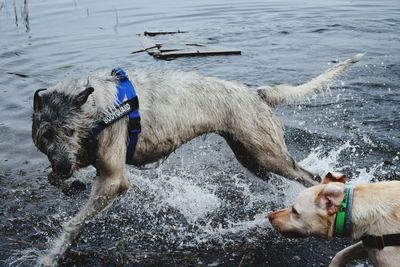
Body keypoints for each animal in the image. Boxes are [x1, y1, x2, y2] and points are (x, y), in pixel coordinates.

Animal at [32, 54, 362, 266]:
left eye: (69, 130)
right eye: (45, 135)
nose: (63, 166)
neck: (94, 109)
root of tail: (255, 94)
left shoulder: (113, 179)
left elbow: (74, 222)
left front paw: (52, 254)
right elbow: (57, 181)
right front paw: (66, 183)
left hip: (268, 154)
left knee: (309, 177)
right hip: (252, 157)